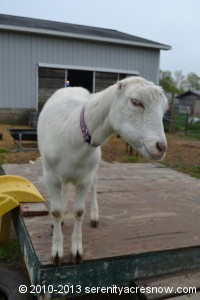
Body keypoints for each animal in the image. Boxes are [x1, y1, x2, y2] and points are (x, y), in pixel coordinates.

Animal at [37, 77, 167, 264]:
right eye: (136, 102)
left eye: (164, 109)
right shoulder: (50, 176)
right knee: (65, 188)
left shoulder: (85, 178)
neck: (73, 133)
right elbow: (56, 211)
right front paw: (56, 252)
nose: (161, 147)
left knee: (94, 185)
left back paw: (94, 216)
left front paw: (77, 250)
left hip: (93, 168)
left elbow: (79, 211)